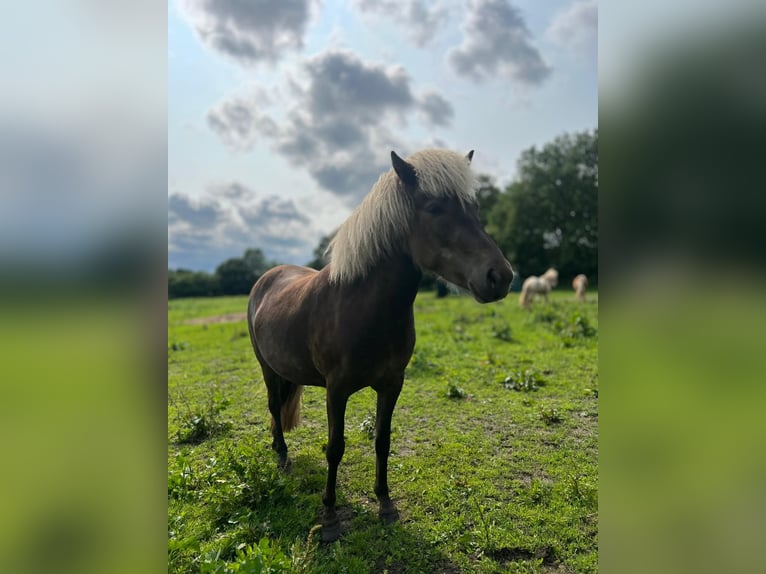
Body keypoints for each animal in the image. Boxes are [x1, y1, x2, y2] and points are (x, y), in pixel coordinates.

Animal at [247, 149, 514, 542]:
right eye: (434, 207)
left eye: (475, 207)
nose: (500, 276)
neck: (362, 307)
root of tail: (267, 277)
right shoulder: (336, 390)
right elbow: (335, 448)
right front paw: (329, 517)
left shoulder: (392, 384)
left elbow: (382, 441)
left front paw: (385, 504)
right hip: (267, 369)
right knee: (273, 407)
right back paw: (281, 456)